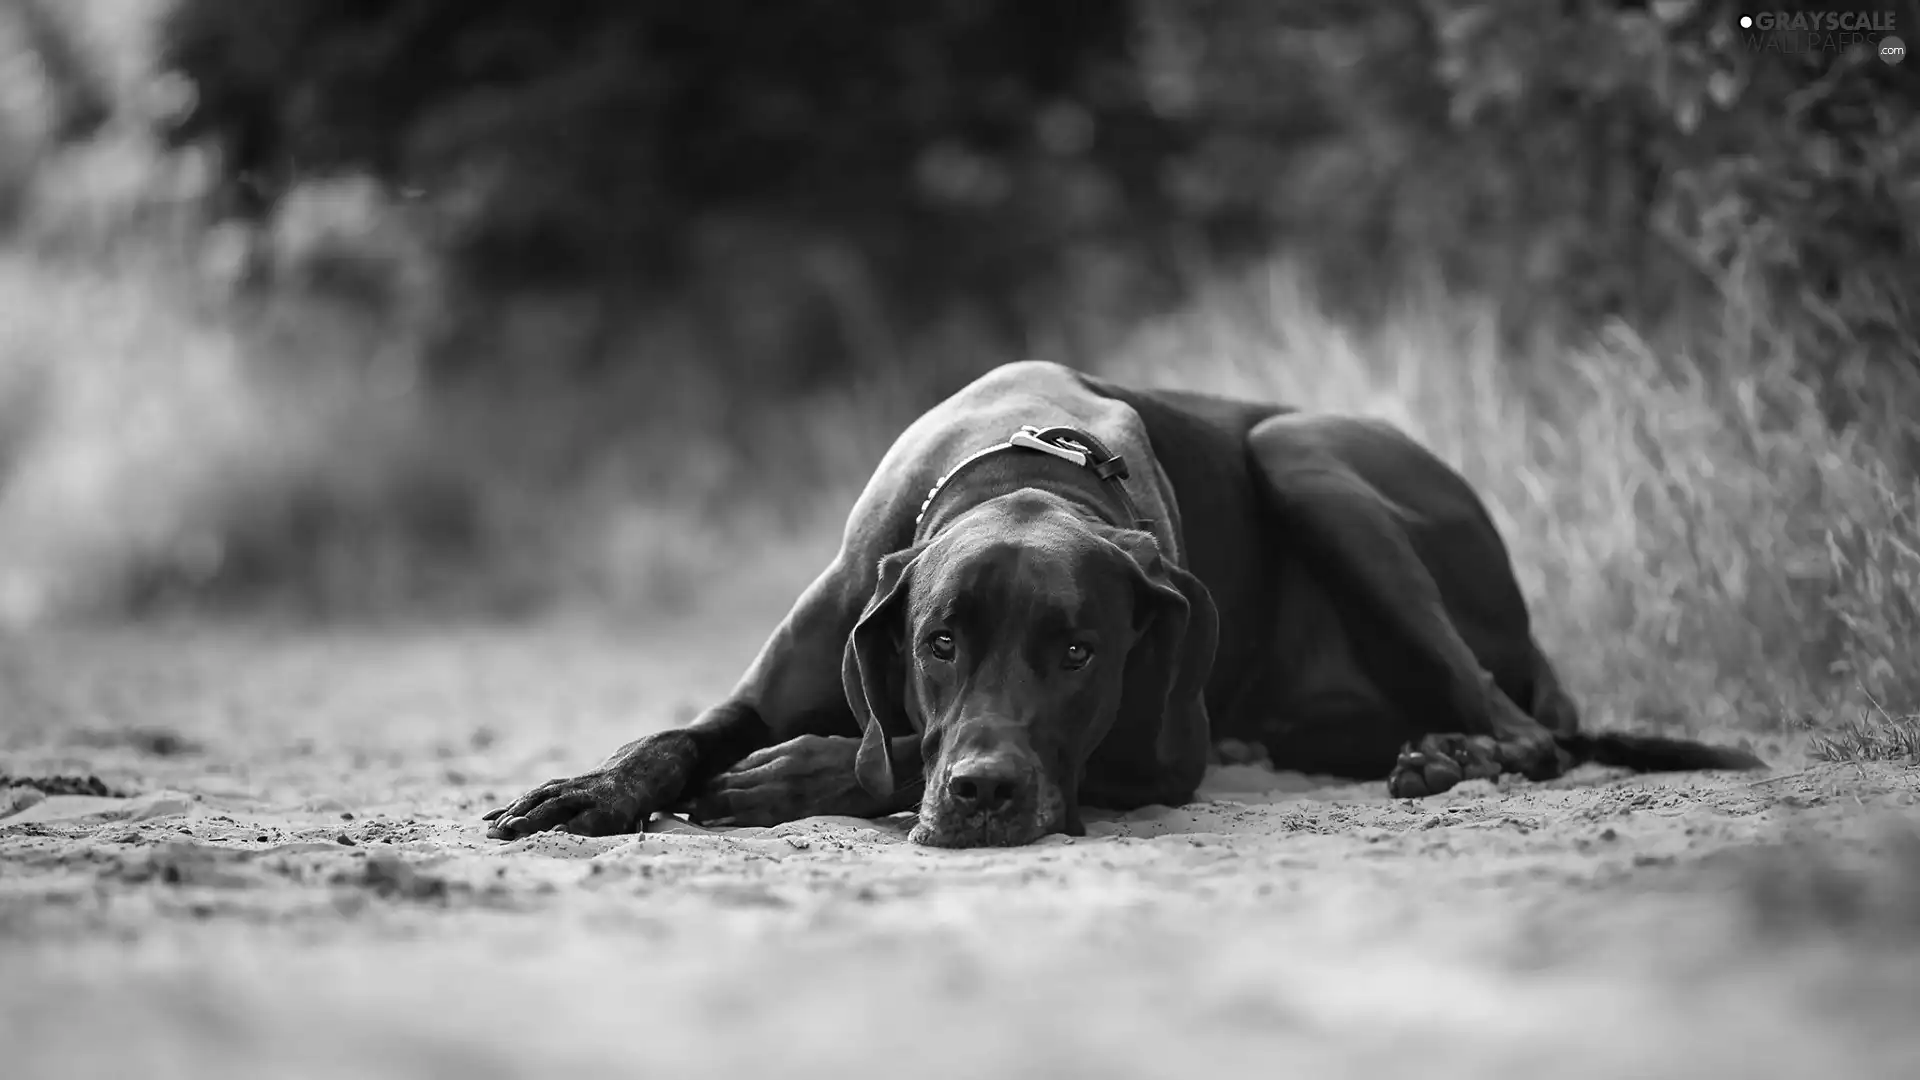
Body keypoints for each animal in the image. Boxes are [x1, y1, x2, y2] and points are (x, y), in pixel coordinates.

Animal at [483, 357, 1766, 845]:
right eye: (938, 642)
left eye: (1081, 653)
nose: (987, 797)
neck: (1025, 466)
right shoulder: (790, 663)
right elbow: (679, 736)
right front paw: (591, 788)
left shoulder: (1160, 754)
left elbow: (881, 753)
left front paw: (795, 774)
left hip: (1308, 457)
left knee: (1530, 731)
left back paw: (1458, 751)